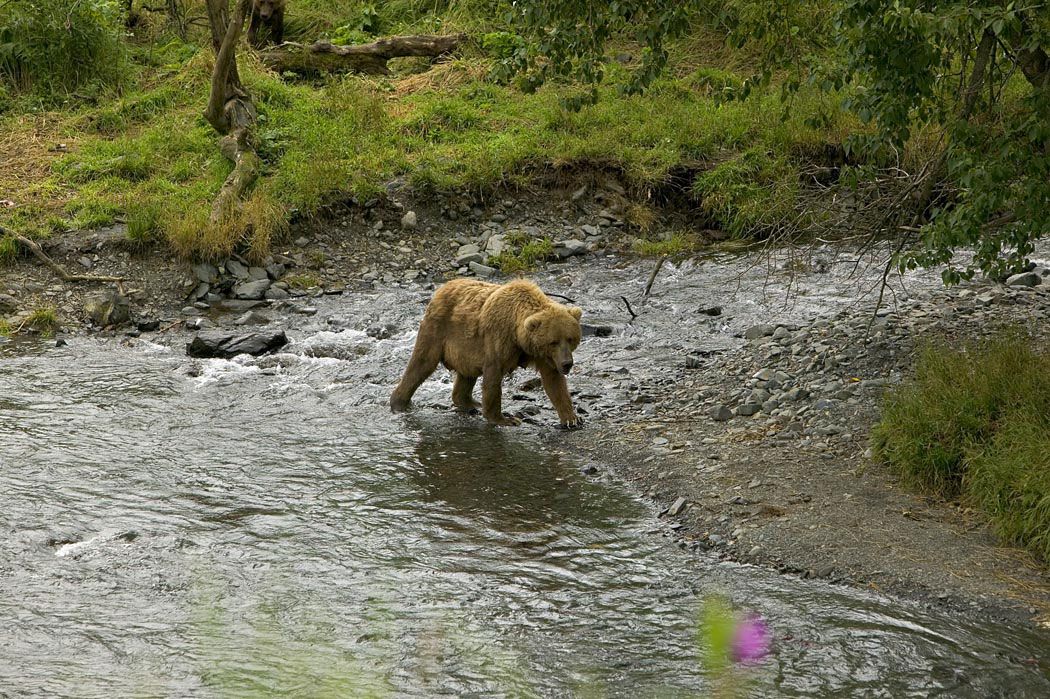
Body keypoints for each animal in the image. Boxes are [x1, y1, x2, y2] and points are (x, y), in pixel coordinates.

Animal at [392, 277, 588, 428]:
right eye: (553, 341)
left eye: (570, 338)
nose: (567, 363)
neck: (519, 337)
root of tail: (441, 288)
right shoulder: (498, 339)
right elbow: (493, 378)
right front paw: (505, 419)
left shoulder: (543, 355)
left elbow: (554, 382)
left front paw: (572, 419)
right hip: (438, 329)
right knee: (421, 364)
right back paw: (399, 402)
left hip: (465, 349)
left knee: (466, 374)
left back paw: (471, 402)